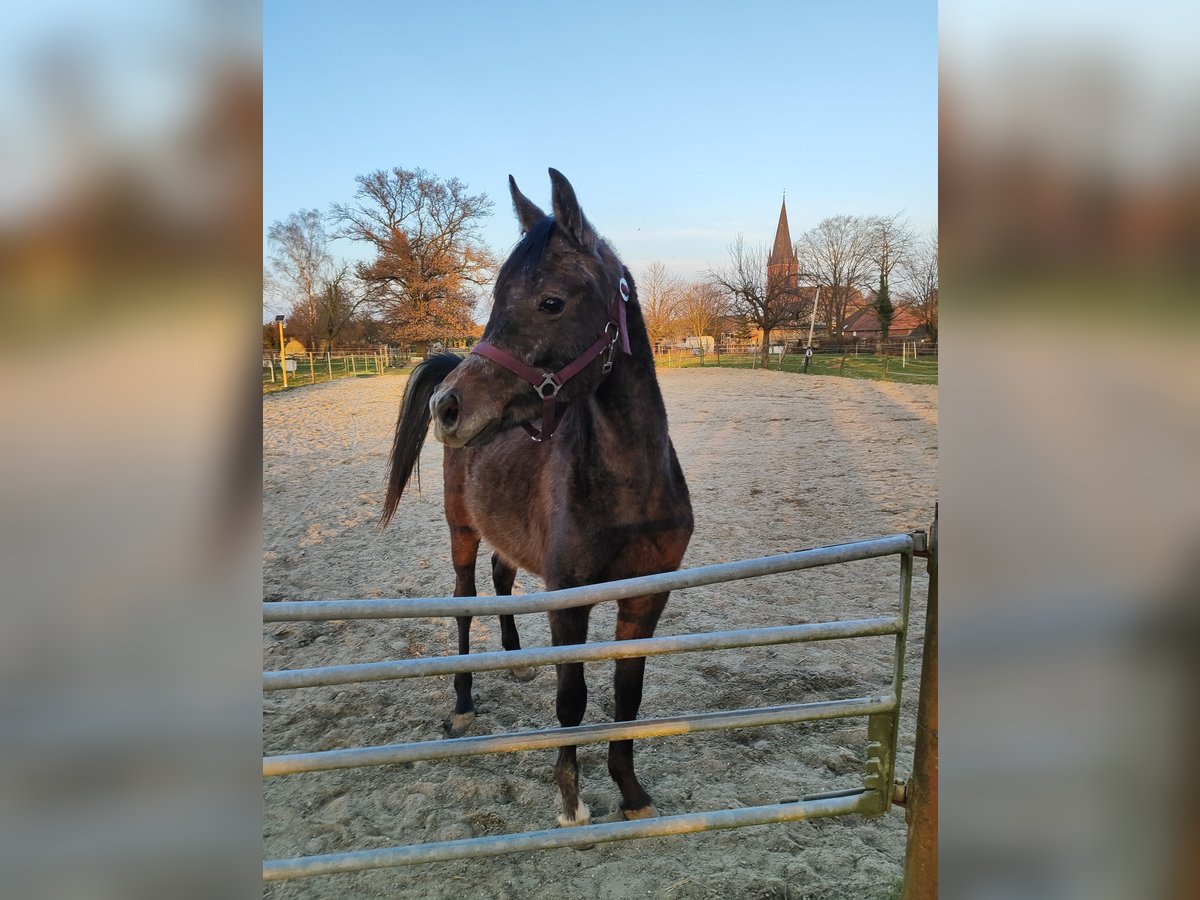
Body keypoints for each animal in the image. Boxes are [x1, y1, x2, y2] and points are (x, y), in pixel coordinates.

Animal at [379, 169, 691, 830]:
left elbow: (628, 694)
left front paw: (631, 792)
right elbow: (571, 698)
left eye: (551, 301)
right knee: (465, 602)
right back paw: (464, 703)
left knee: (503, 576)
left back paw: (515, 658)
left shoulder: (646, 597)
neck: (631, 486)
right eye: (498, 299)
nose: (447, 406)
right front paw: (570, 799)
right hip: (461, 532)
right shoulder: (569, 600)